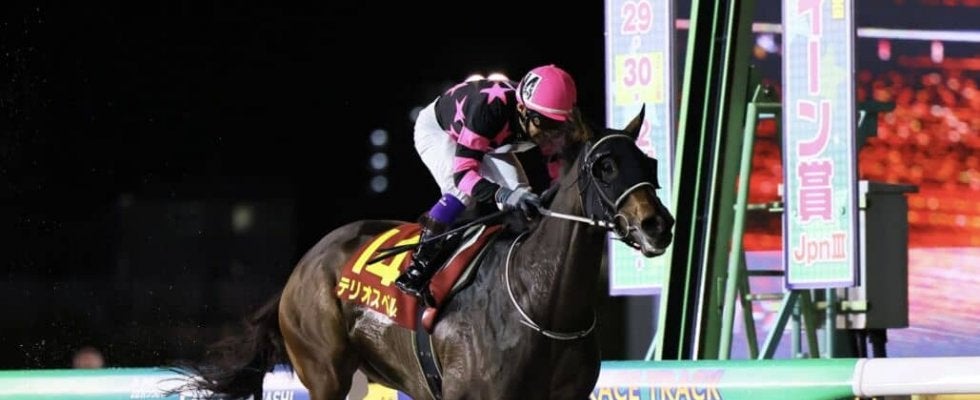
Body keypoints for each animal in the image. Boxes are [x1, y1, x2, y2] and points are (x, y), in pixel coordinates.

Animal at [172, 106, 674, 400]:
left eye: (649, 163)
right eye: (604, 166)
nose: (658, 225)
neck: (541, 302)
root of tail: (303, 265)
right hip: (324, 371)